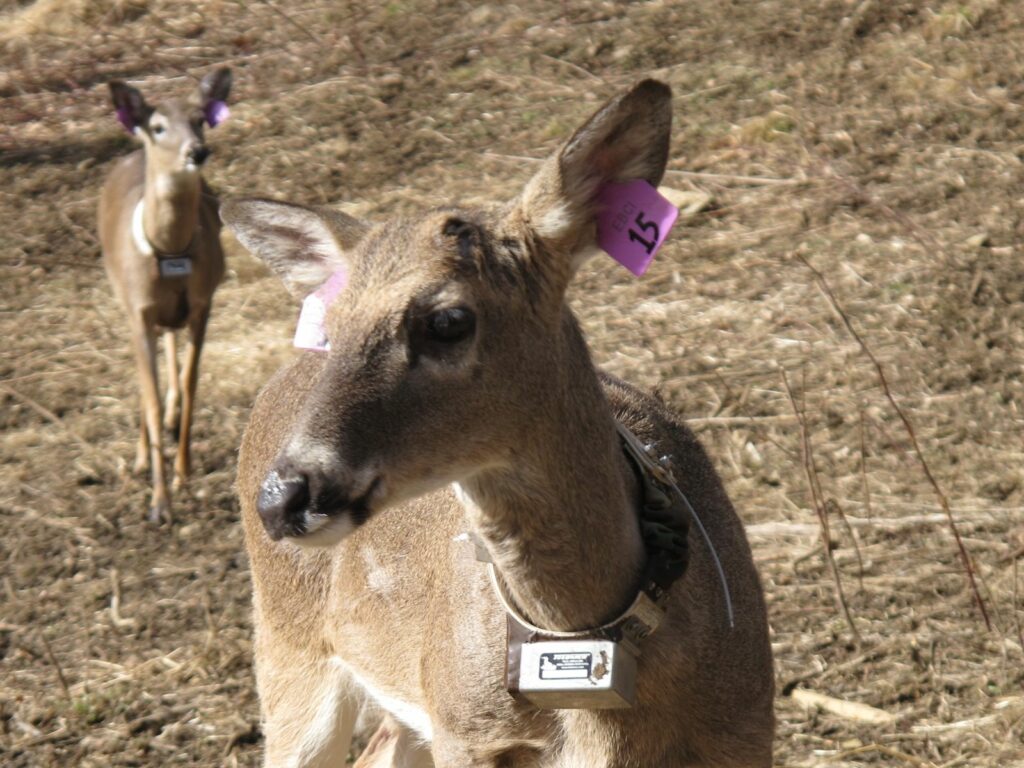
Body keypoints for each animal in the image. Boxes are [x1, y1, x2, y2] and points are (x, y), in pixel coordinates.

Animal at [96, 69, 231, 528]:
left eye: (200, 120)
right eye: (157, 127)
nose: (197, 151)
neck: (169, 252)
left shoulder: (204, 302)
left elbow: (191, 384)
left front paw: (183, 472)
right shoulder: (138, 309)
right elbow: (149, 394)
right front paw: (159, 504)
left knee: (171, 347)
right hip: (122, 296)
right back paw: (141, 456)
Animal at [222, 79, 770, 768]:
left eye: (448, 320)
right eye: (333, 325)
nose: (284, 497)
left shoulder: (747, 727)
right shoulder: (469, 732)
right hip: (291, 650)